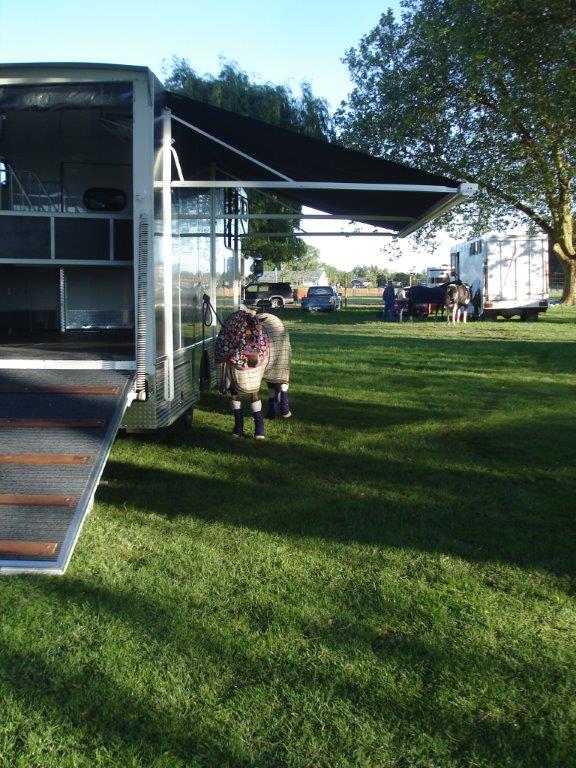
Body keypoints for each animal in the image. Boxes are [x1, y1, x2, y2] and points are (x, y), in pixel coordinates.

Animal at [215, 308, 292, 440]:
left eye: (259, 338)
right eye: (250, 337)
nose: (254, 363)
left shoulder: (252, 382)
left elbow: (255, 404)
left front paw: (259, 434)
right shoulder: (233, 387)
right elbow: (236, 406)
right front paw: (237, 432)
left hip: (280, 366)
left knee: (283, 385)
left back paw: (285, 412)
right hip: (269, 371)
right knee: (273, 389)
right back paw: (271, 414)